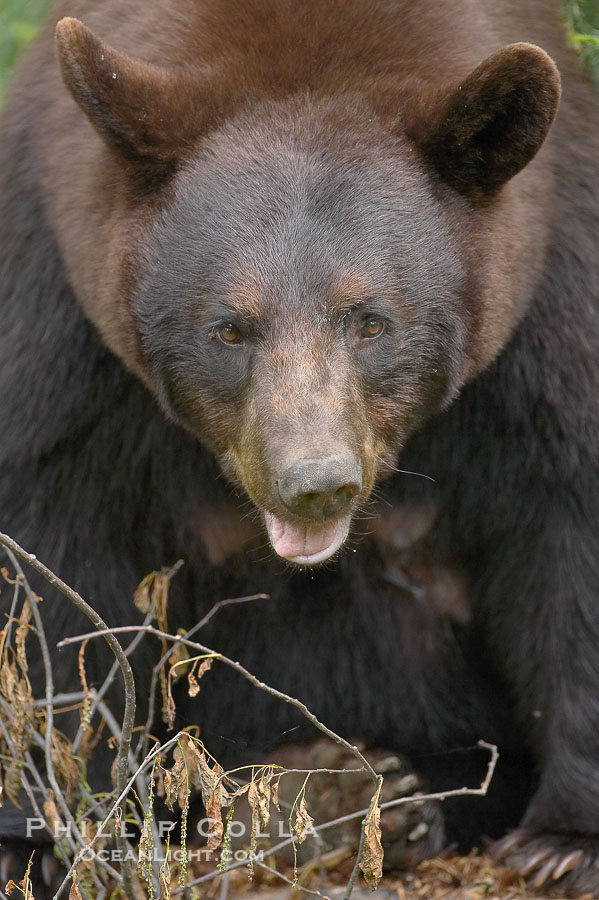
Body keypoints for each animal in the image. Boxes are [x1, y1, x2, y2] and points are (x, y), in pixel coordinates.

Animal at [1, 0, 599, 895]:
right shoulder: (55, 320)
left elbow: (569, 536)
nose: (314, 482)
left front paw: (563, 842)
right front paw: (51, 827)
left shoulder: (553, 300)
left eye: (371, 321)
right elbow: (51, 570)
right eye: (228, 328)